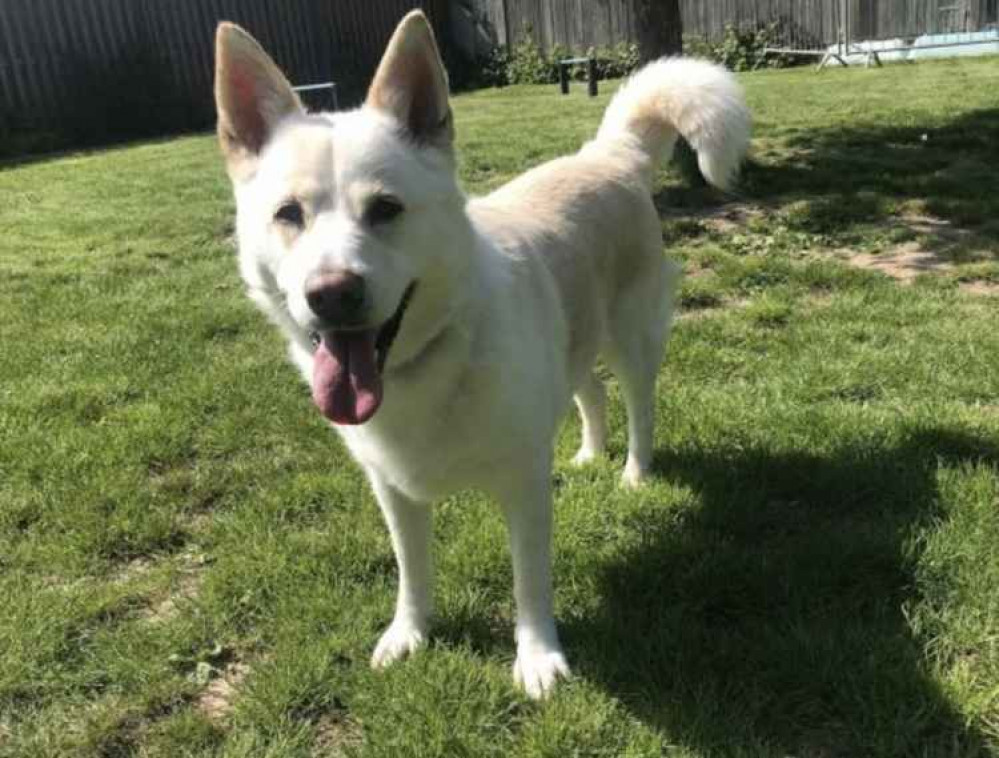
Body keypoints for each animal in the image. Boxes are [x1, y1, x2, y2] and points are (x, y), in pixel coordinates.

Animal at [215, 13, 748, 700]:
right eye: (289, 214)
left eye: (385, 209)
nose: (331, 294)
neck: (427, 361)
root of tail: (607, 155)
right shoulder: (392, 491)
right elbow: (411, 571)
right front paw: (410, 634)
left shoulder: (525, 489)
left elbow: (529, 583)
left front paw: (538, 657)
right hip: (571, 345)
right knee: (591, 392)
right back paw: (588, 453)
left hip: (630, 340)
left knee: (639, 404)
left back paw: (633, 471)